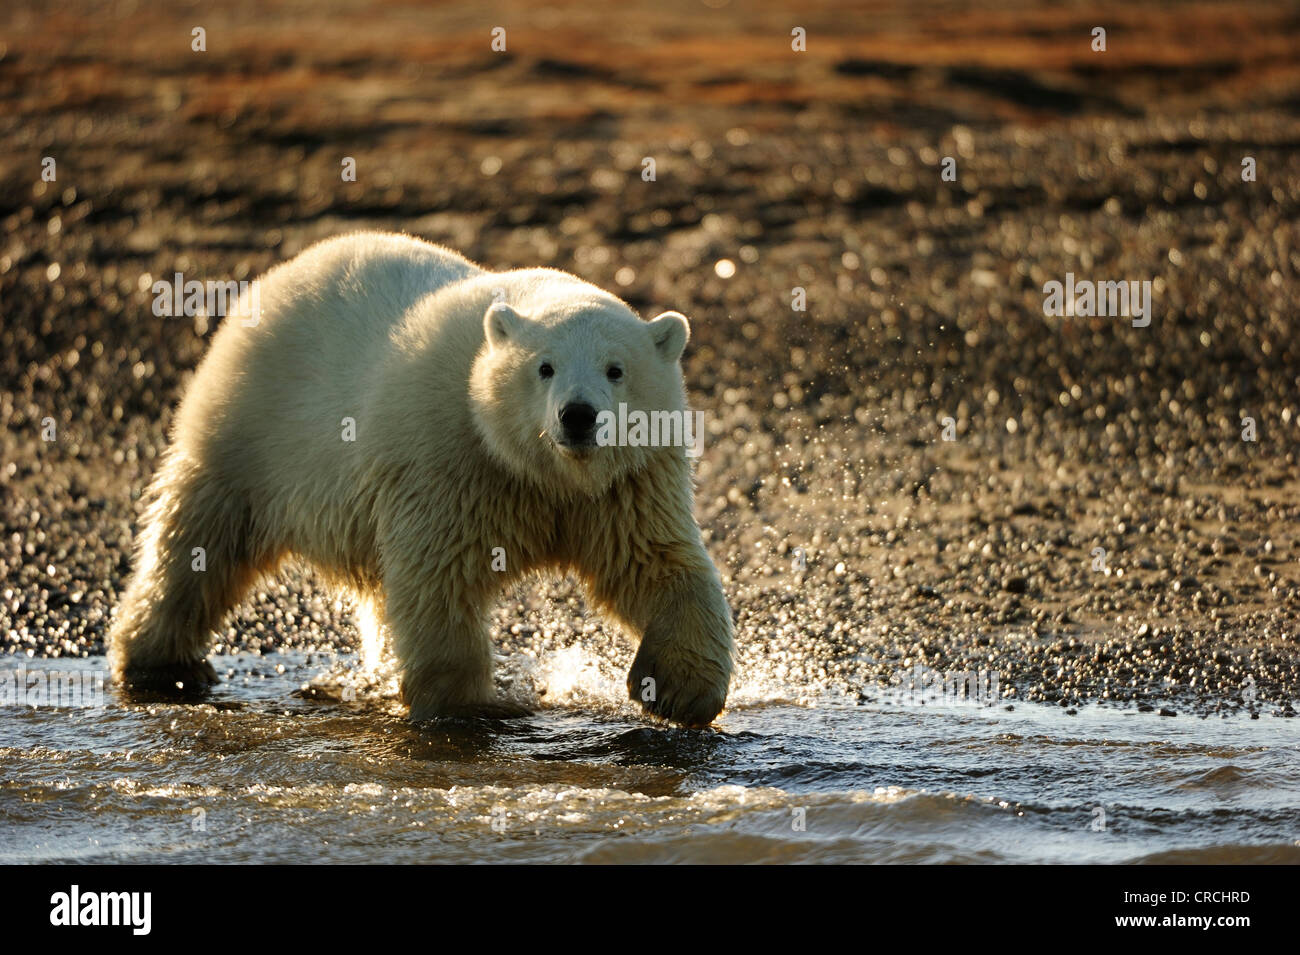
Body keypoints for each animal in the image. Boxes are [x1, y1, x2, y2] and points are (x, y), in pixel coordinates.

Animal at [106, 231, 738, 722]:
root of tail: (281, 274)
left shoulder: (623, 485)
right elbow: (439, 577)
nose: (578, 416)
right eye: (545, 367)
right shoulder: (452, 461)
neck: (546, 475)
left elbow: (654, 563)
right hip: (249, 429)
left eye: (616, 369)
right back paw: (159, 661)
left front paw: (679, 691)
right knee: (199, 542)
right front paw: (466, 704)